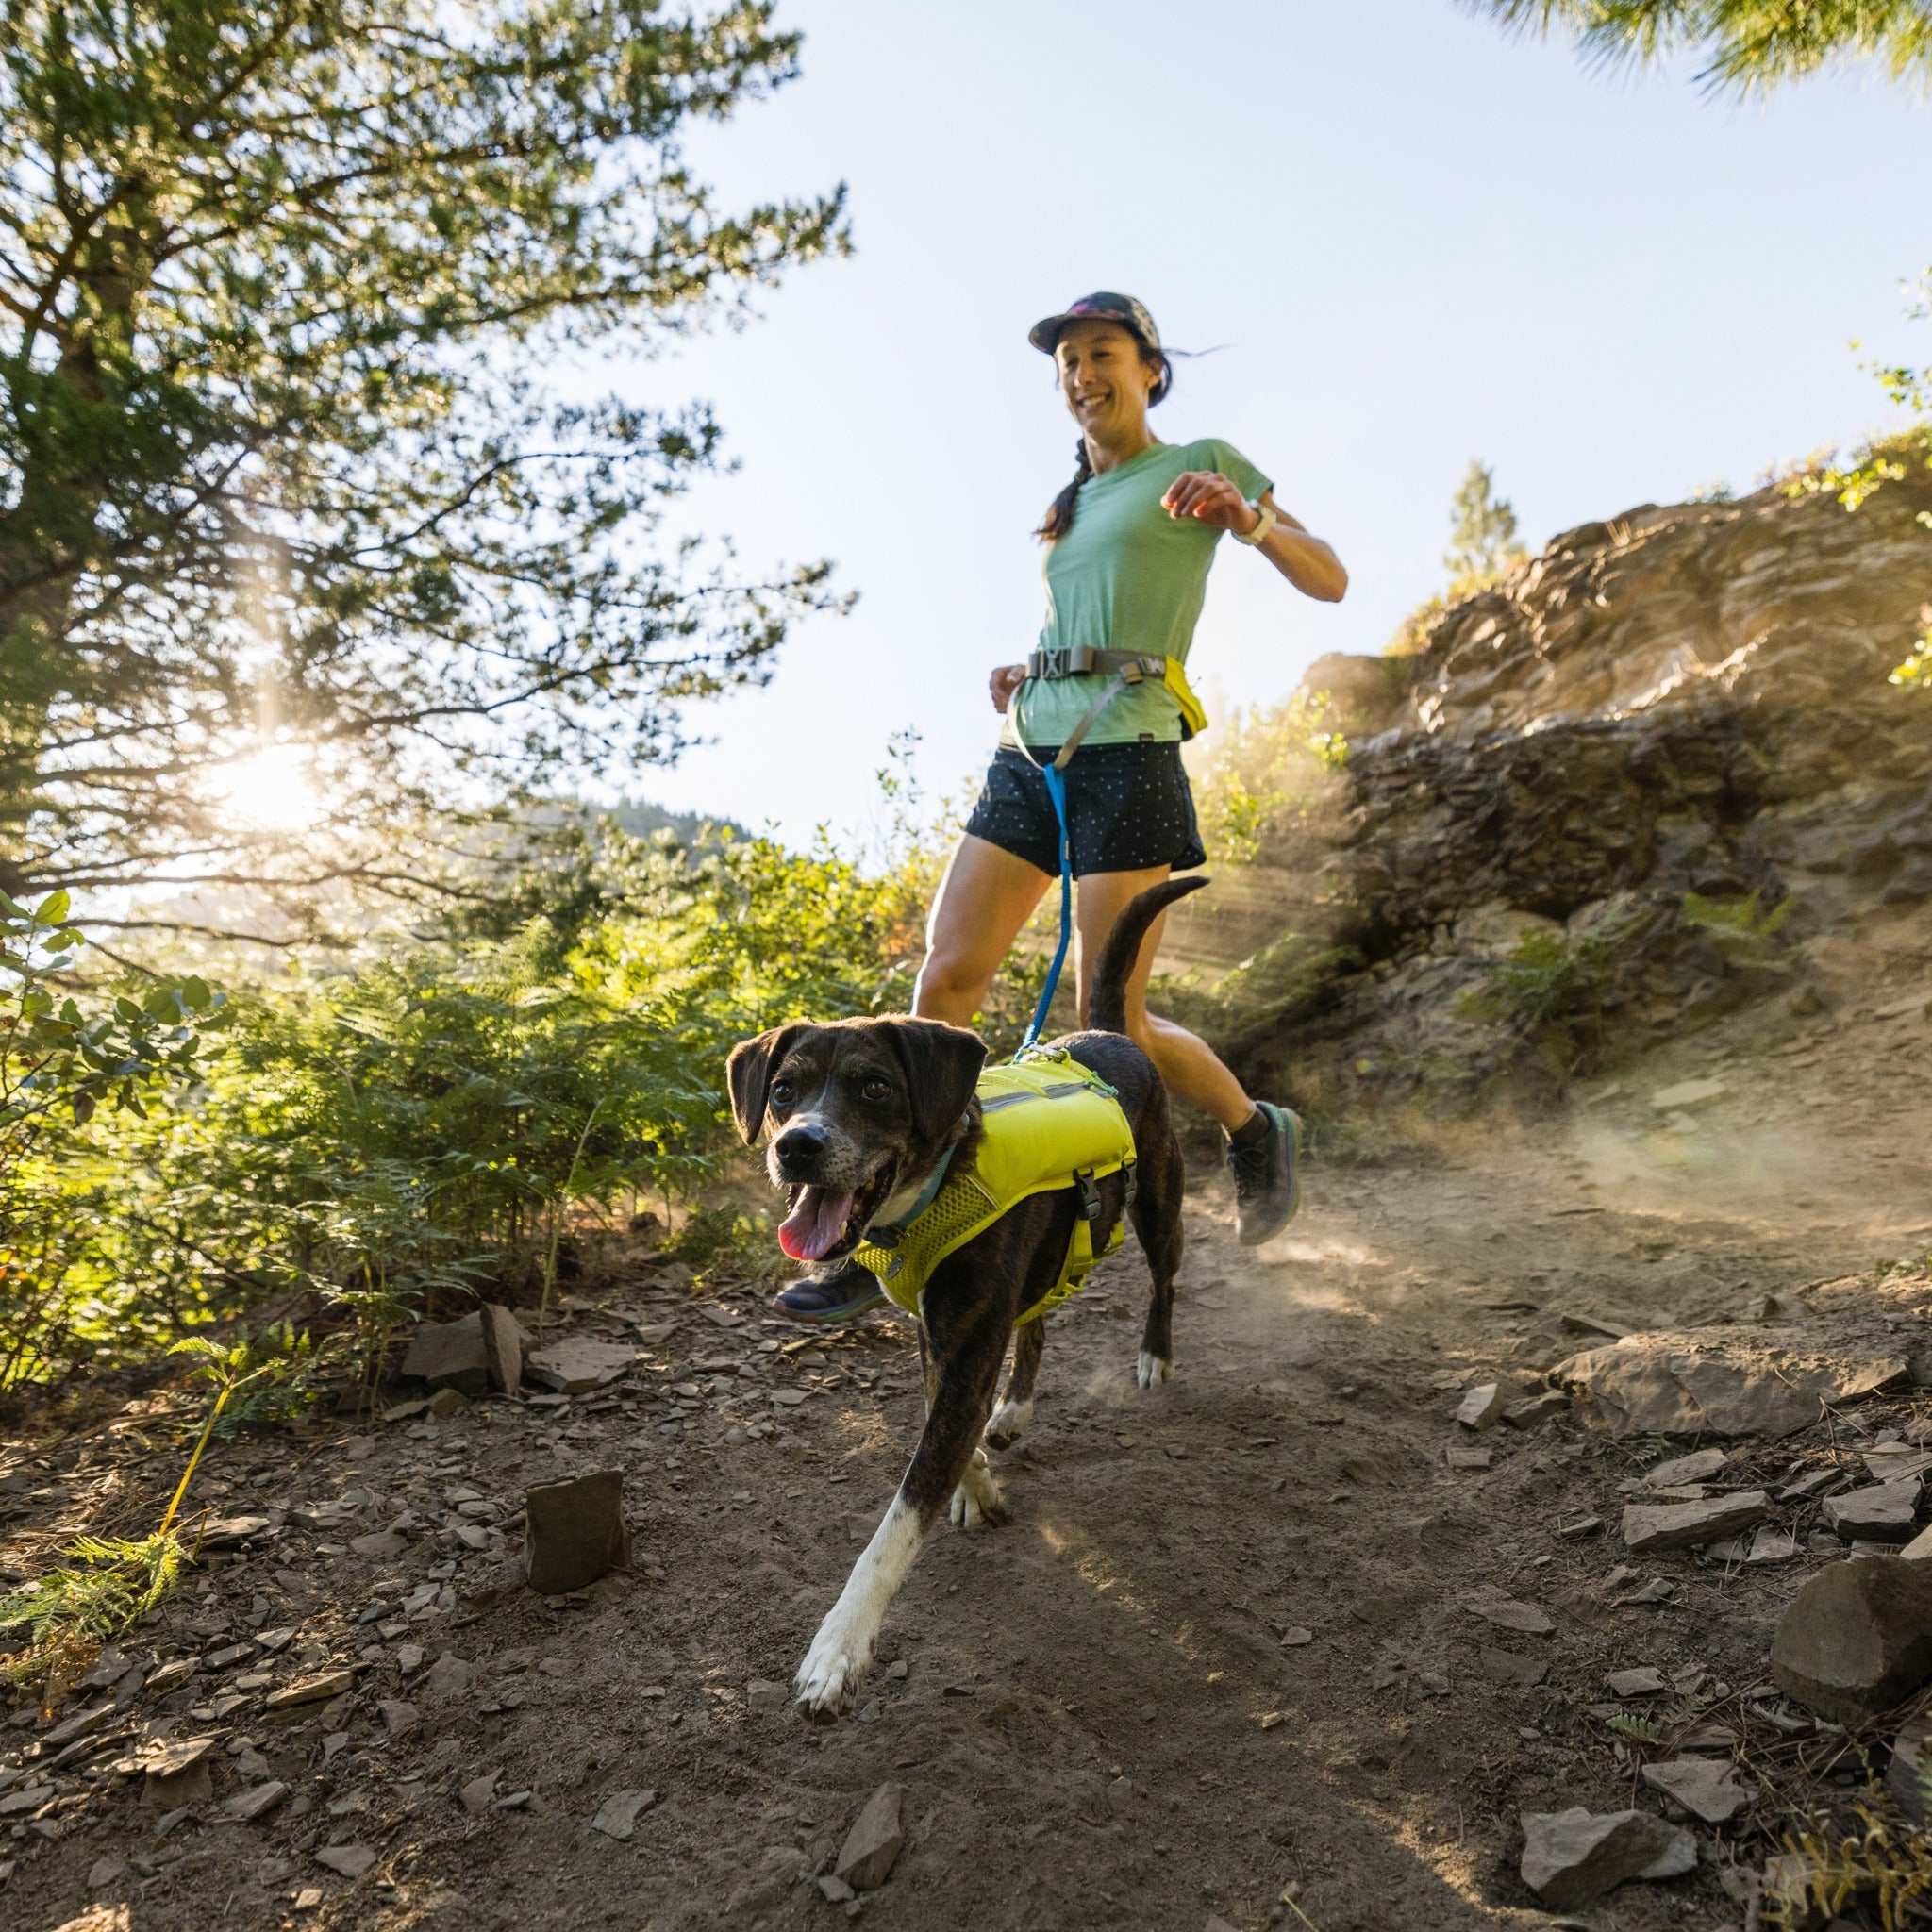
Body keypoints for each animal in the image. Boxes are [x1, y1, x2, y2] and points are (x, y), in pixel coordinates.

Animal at [730, 884, 1197, 1715]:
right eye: (784, 1091)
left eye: (875, 1086)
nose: (797, 1145)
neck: (935, 1188)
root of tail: (1109, 1033)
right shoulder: (938, 1336)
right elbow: (945, 1419)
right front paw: (978, 1475)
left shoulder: (969, 1338)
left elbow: (895, 1522)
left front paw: (836, 1650)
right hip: (1050, 1258)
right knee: (1039, 1325)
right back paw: (1014, 1411)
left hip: (1156, 1205)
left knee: (1165, 1279)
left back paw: (1153, 1355)